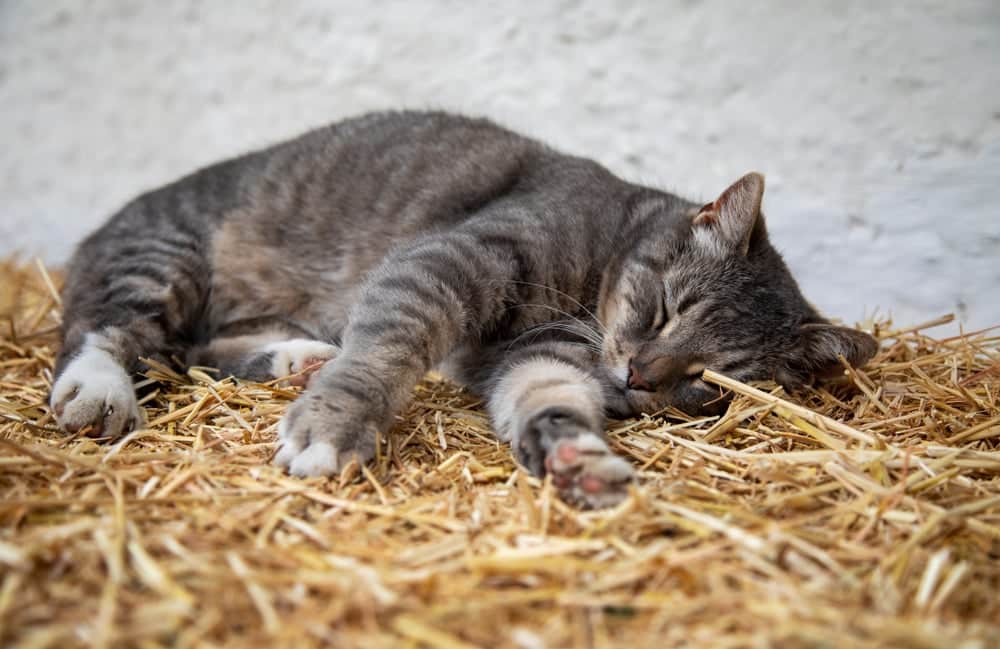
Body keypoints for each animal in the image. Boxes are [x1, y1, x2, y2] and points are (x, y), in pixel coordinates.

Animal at [47, 110, 876, 506]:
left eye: (709, 379)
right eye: (671, 307)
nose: (639, 375)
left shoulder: (538, 357)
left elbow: (549, 399)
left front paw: (579, 458)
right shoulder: (448, 260)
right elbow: (384, 350)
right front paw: (333, 425)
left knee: (192, 352)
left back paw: (298, 358)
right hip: (162, 260)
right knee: (107, 330)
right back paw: (99, 389)